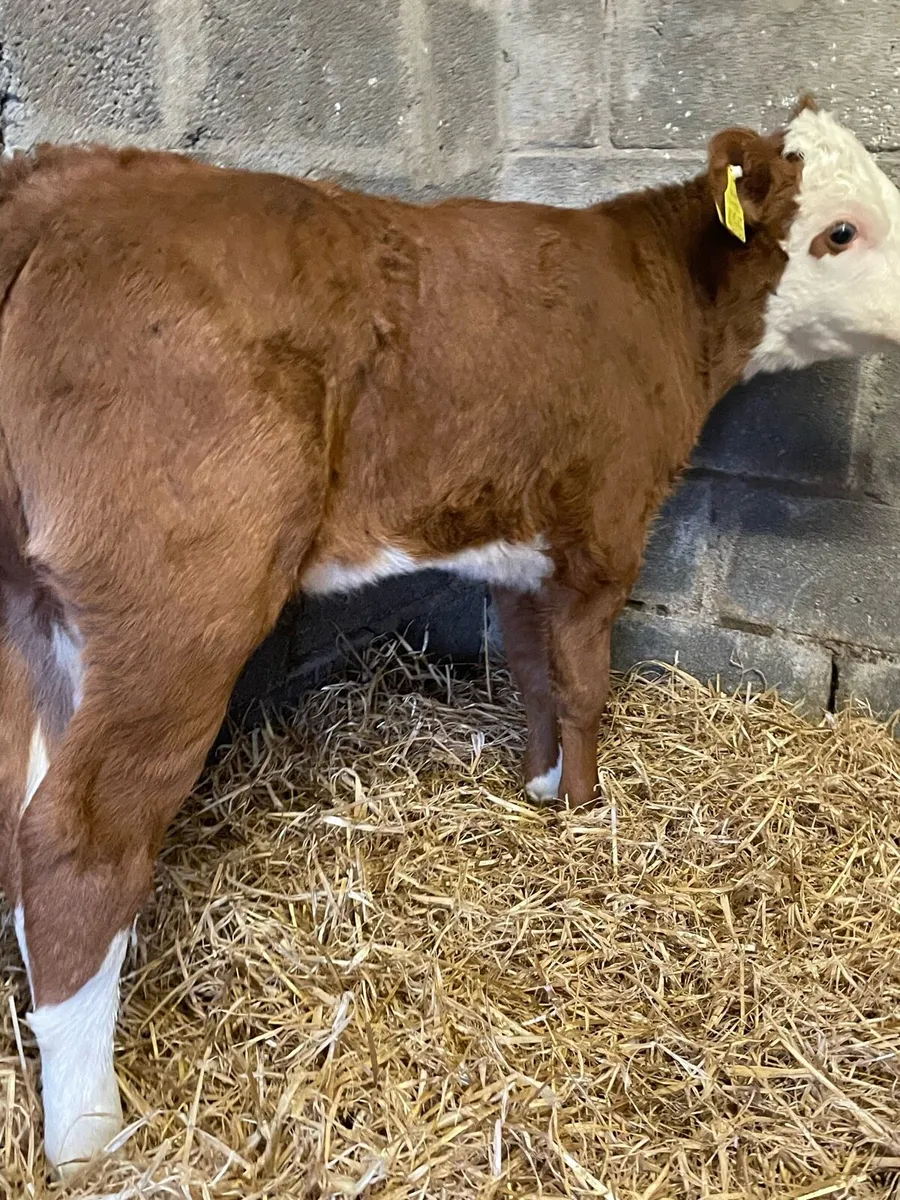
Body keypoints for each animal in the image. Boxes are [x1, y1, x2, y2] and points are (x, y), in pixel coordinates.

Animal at [1, 96, 900, 1175]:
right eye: (840, 231)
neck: (660, 297)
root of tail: (62, 185)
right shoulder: (605, 529)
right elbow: (586, 683)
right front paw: (586, 812)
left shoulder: (523, 551)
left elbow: (537, 673)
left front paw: (542, 787)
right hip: (178, 600)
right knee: (76, 837)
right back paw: (92, 1133)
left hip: (34, 609)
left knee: (20, 807)